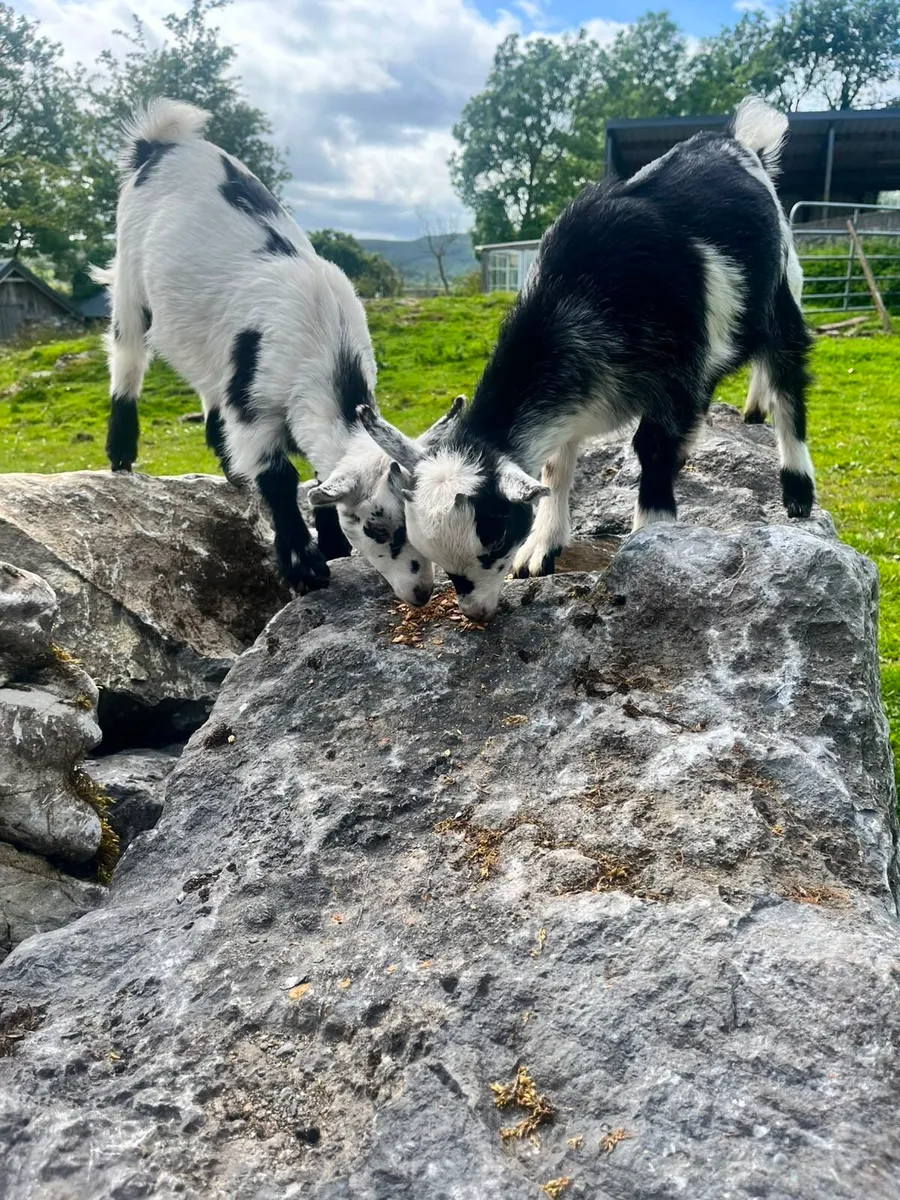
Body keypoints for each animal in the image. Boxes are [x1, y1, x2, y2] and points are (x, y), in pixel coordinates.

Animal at [95, 97, 436, 605]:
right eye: (378, 527)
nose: (422, 591)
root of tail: (160, 143)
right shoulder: (254, 407)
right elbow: (280, 478)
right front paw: (304, 567)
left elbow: (318, 477)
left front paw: (331, 544)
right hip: (129, 276)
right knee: (127, 354)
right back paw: (120, 454)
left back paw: (227, 467)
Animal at [359, 97, 815, 623]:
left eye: (495, 537)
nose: (475, 611)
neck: (580, 294)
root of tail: (739, 139)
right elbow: (556, 467)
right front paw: (541, 548)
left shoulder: (678, 376)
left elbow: (652, 447)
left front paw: (651, 537)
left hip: (782, 293)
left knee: (787, 377)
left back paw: (797, 489)